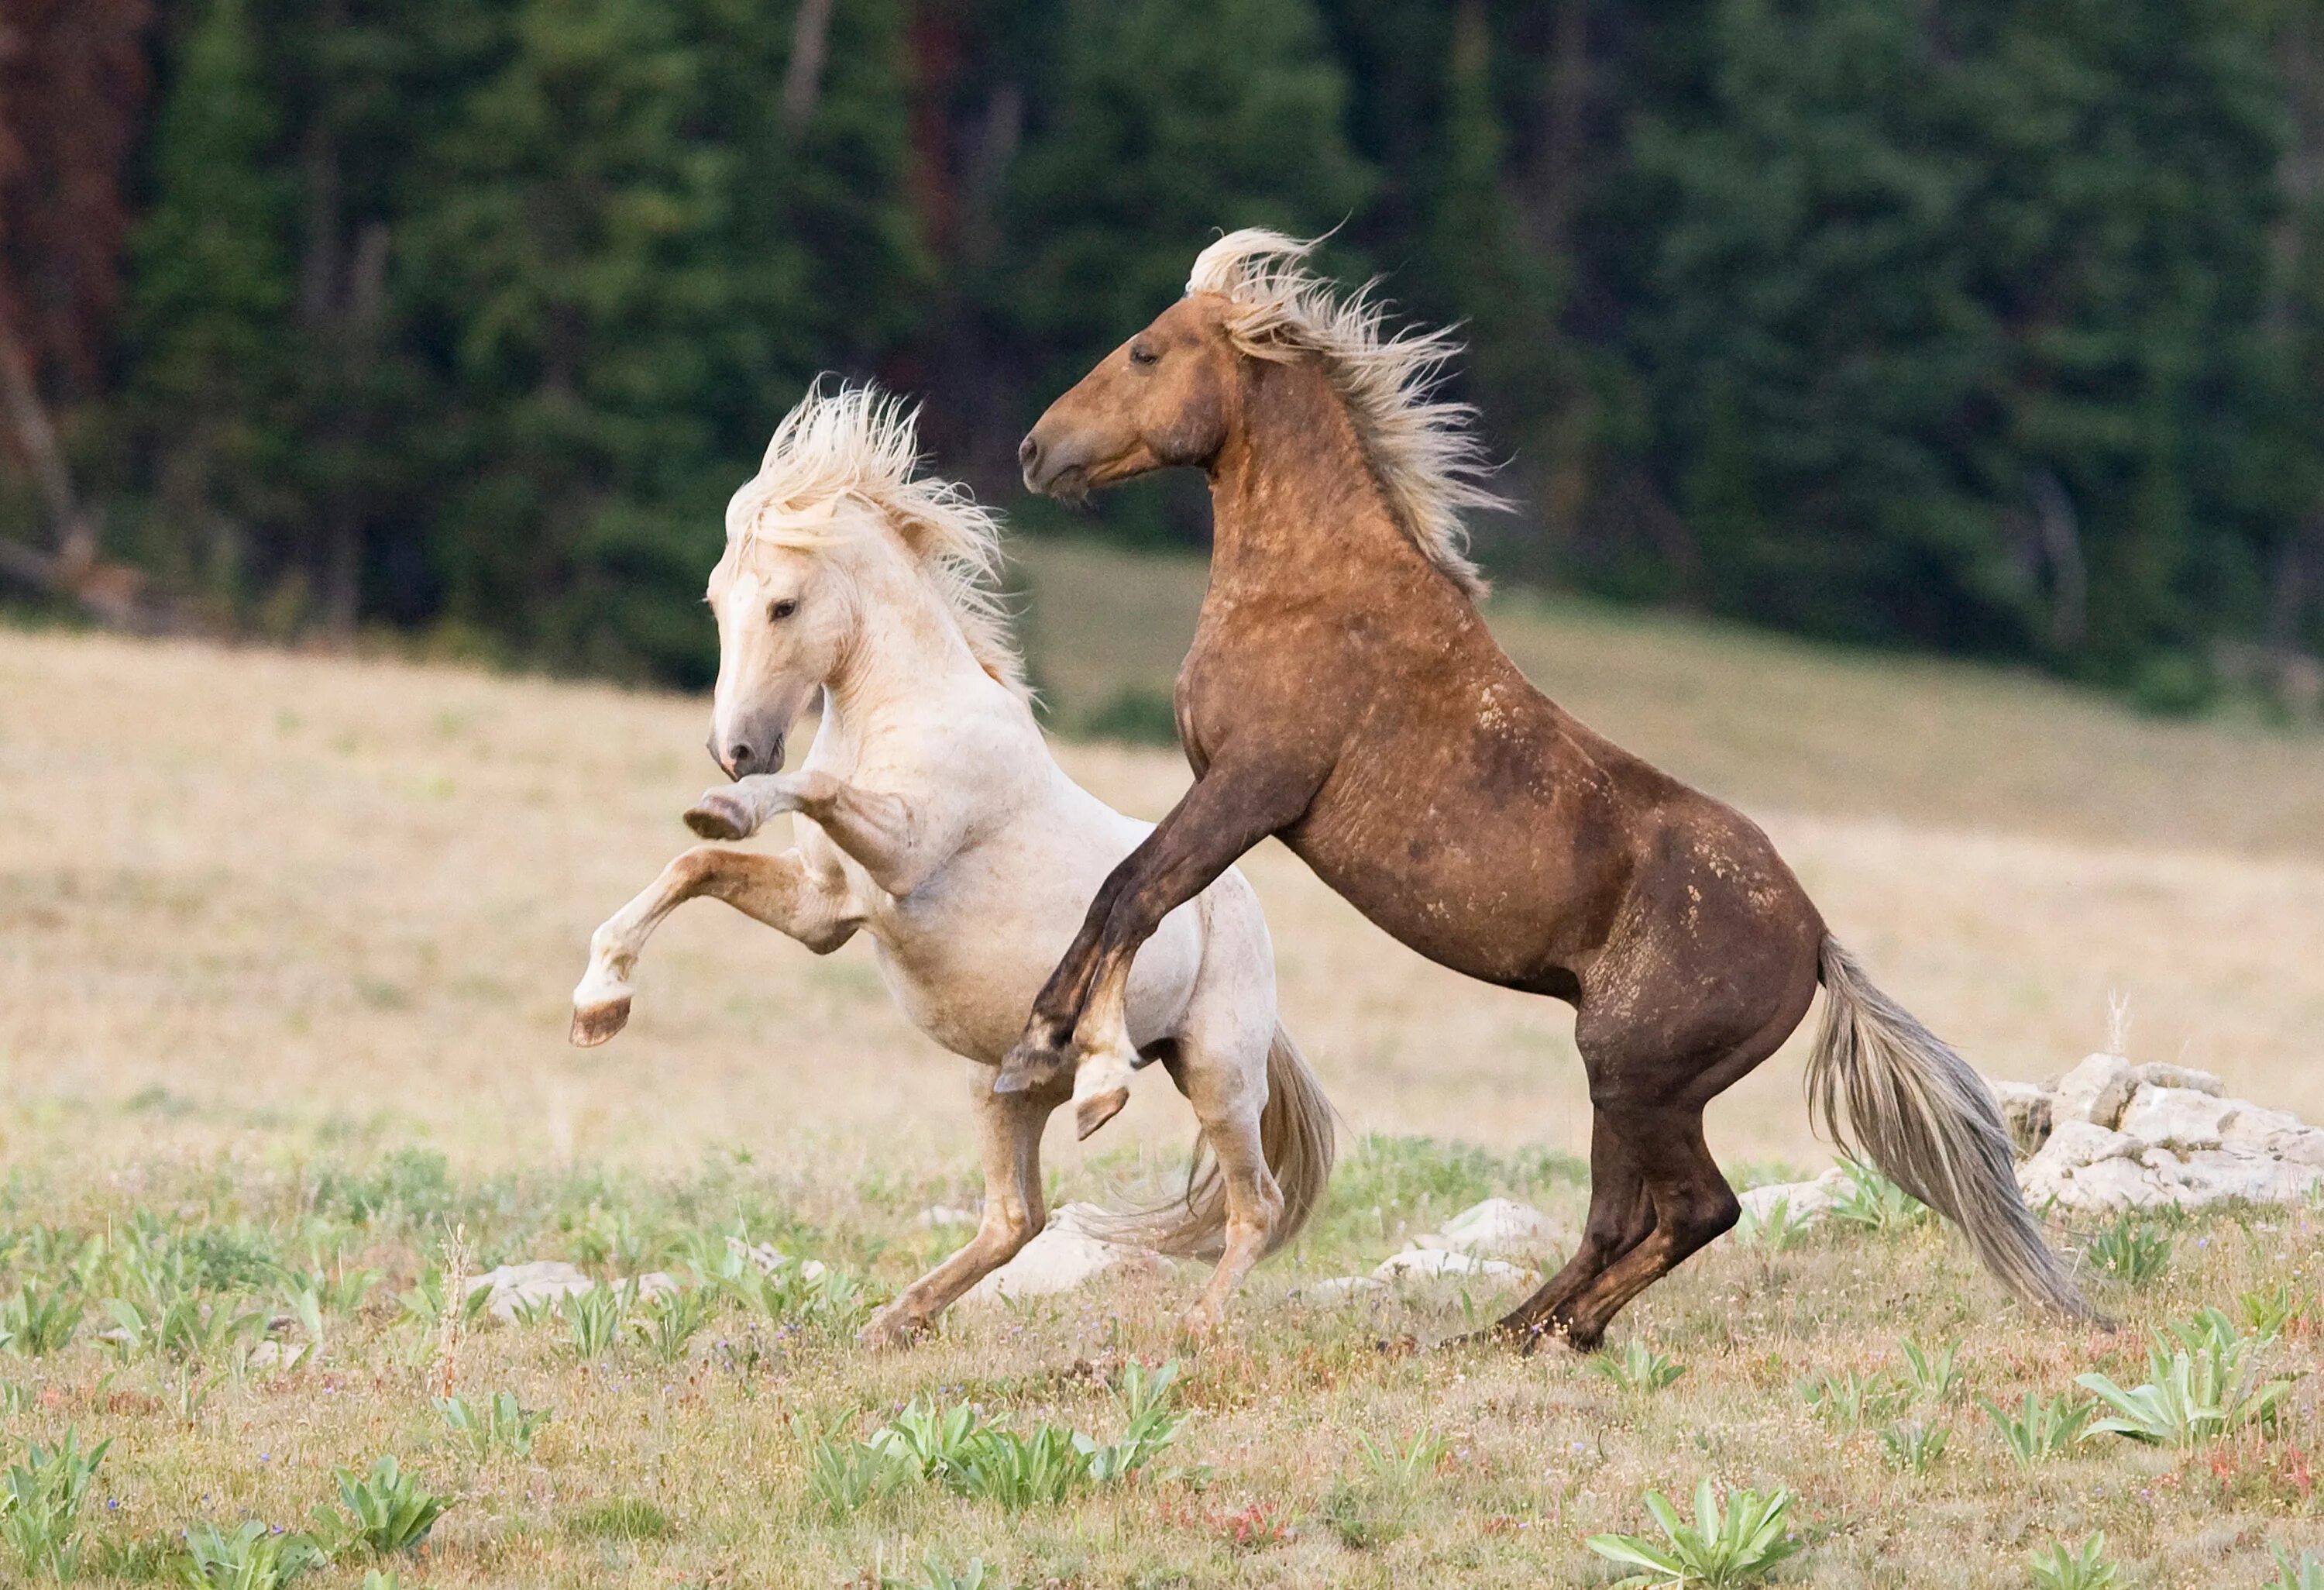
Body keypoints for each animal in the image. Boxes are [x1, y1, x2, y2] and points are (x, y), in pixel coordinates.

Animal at [569, 381, 1339, 1339]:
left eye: (783, 605)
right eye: (715, 602)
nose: (735, 750)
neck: (899, 711)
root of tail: (1242, 910)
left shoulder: (901, 855)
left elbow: (807, 789)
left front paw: (729, 811)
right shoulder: (825, 910)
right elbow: (692, 869)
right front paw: (599, 1002)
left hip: (1216, 1071)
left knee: (1254, 1206)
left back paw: (1192, 1320)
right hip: (1002, 1086)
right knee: (1017, 1218)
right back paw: (892, 1321)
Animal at [995, 226, 2092, 1339]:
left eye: (1146, 351)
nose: (1034, 451)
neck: (1313, 588)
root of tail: (1817, 941)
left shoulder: (1250, 788)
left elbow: (1131, 891)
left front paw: (1067, 1063)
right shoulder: (1229, 793)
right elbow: (1131, 893)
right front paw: (1054, 1051)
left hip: (1633, 1077)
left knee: (1694, 1208)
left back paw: (1542, 1335)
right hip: (1632, 1084)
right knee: (1626, 1218)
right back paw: (1517, 1332)